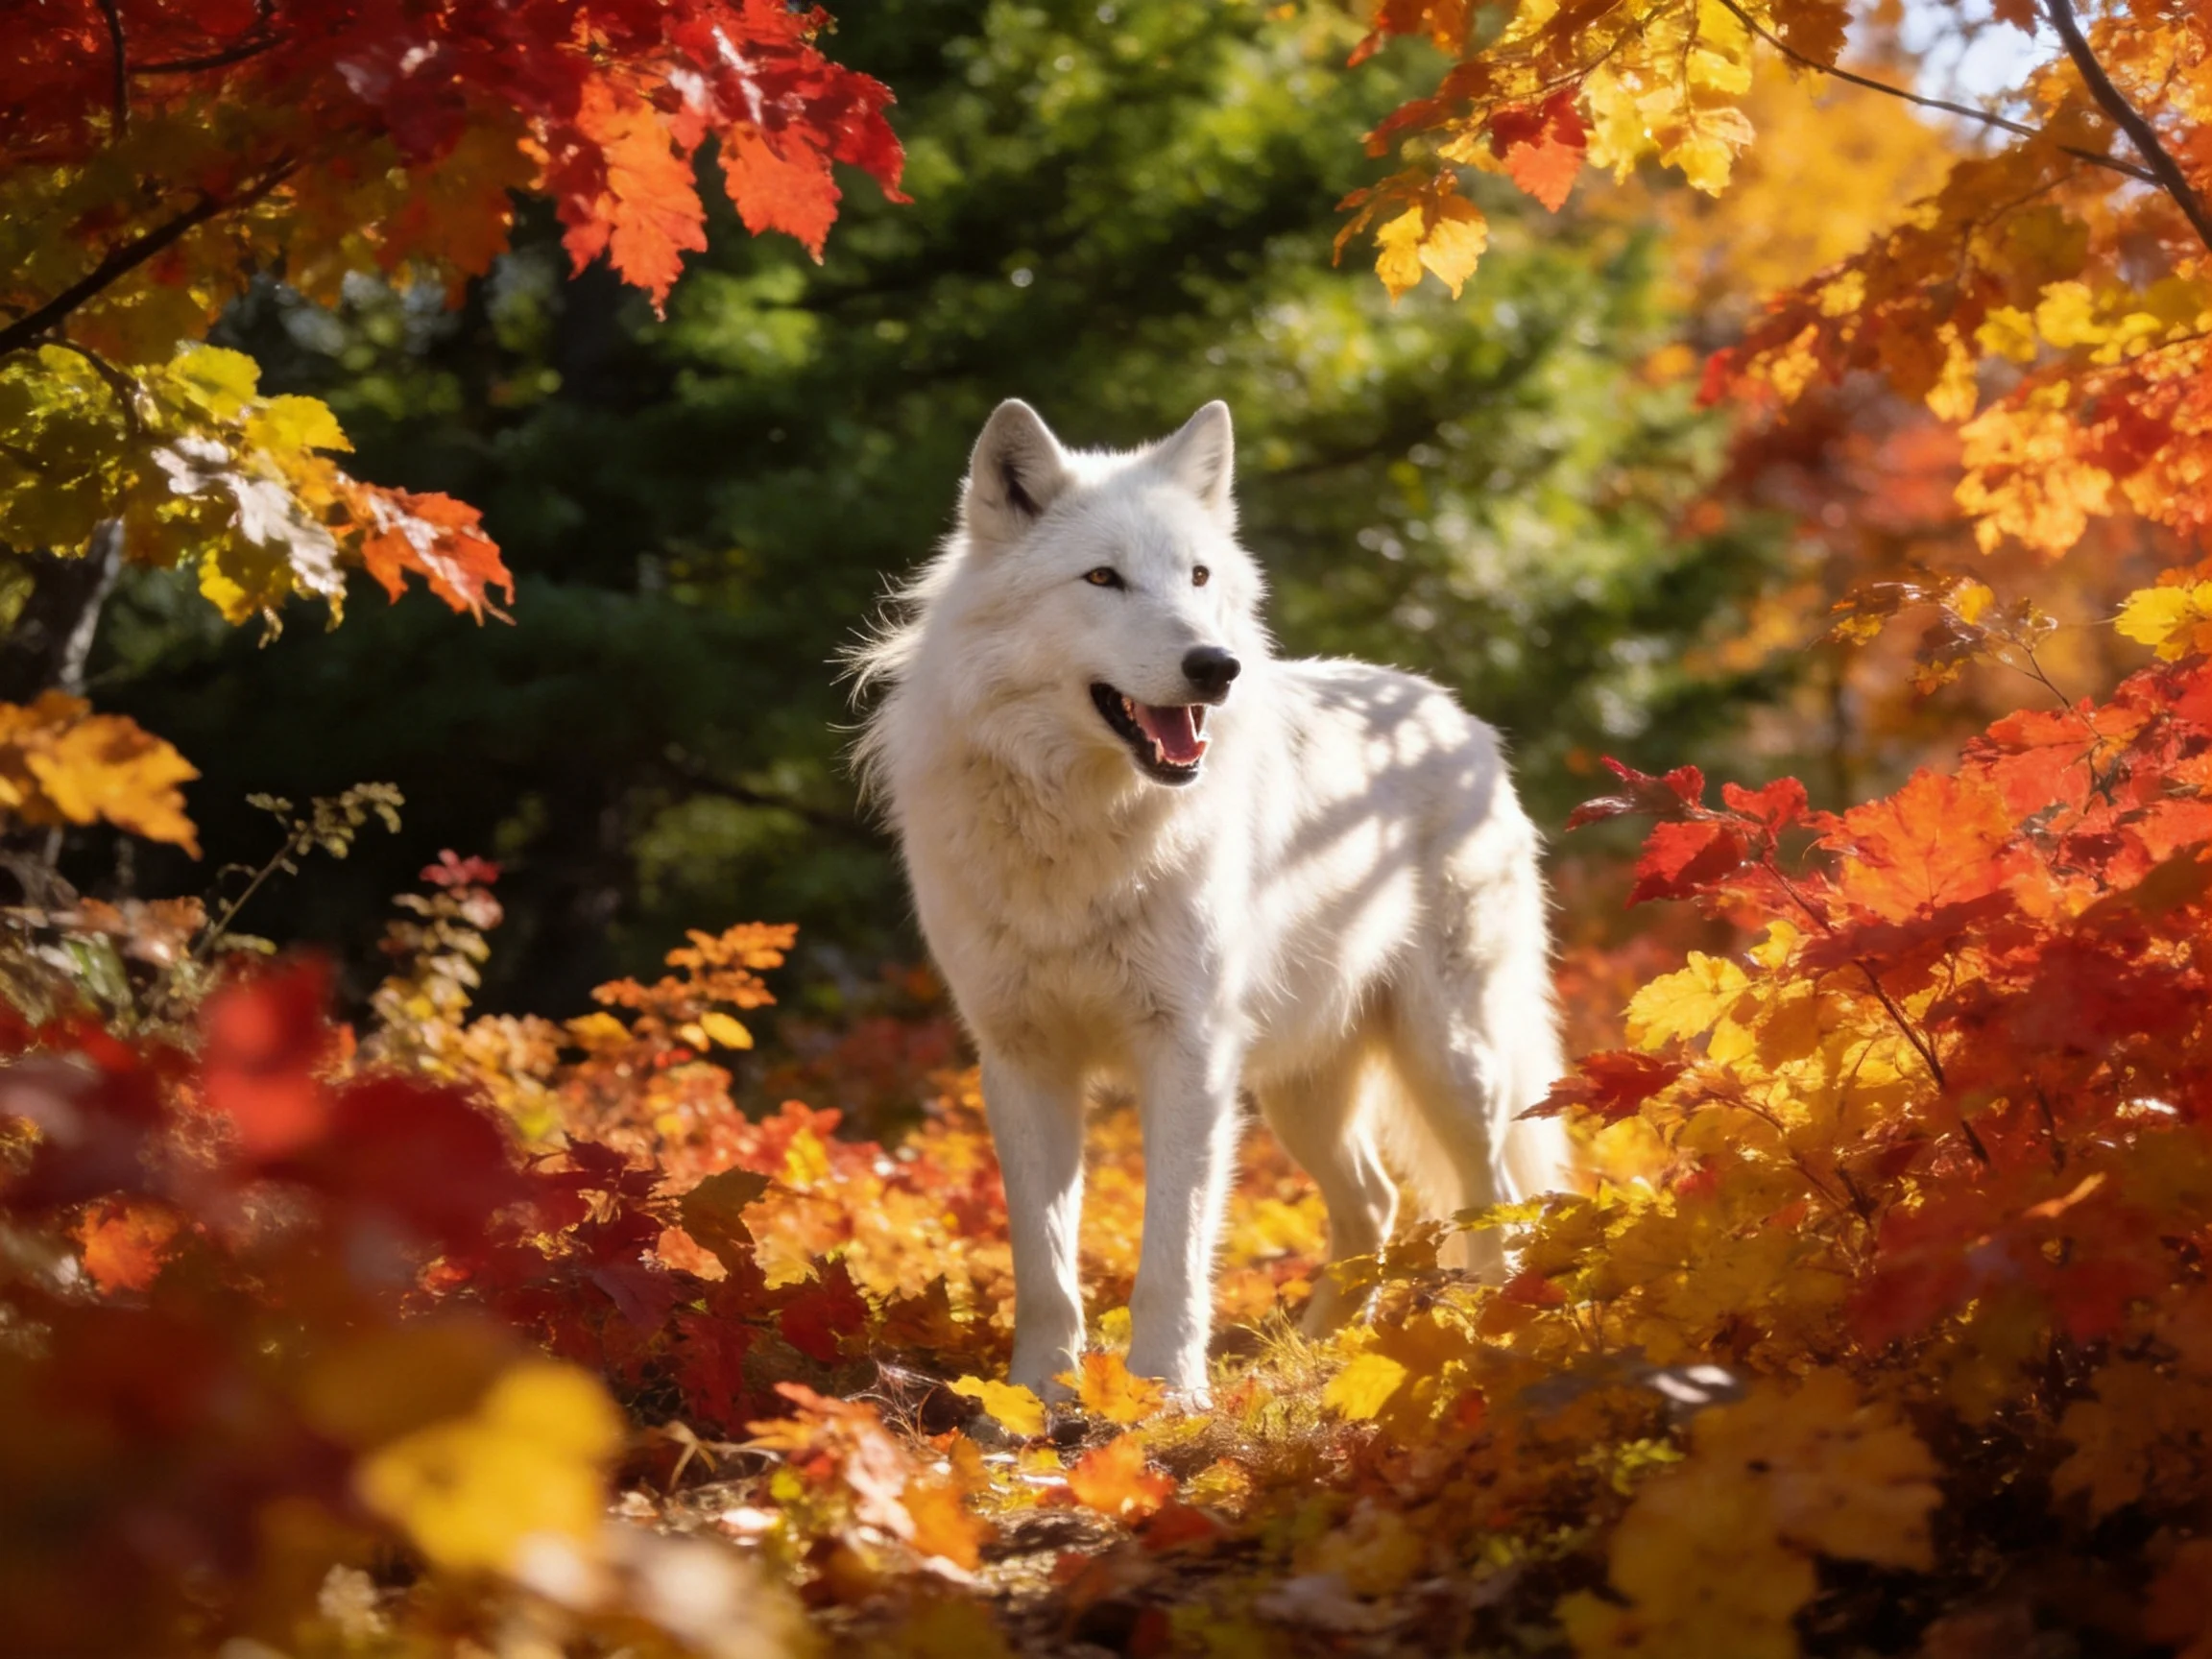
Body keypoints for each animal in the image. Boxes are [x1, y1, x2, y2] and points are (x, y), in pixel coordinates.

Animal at [852, 399, 1572, 1397]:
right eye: (1104, 577)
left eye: (1198, 576)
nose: (1216, 666)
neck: (1082, 825)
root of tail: (1448, 709)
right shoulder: (1021, 1059)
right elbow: (1043, 1262)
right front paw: (1034, 1397)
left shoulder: (1188, 1052)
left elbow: (1175, 1250)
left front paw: (1165, 1393)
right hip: (1298, 1086)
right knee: (1375, 1201)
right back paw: (1313, 1357)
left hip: (1447, 1058)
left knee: (1489, 1192)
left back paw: (1488, 1335)